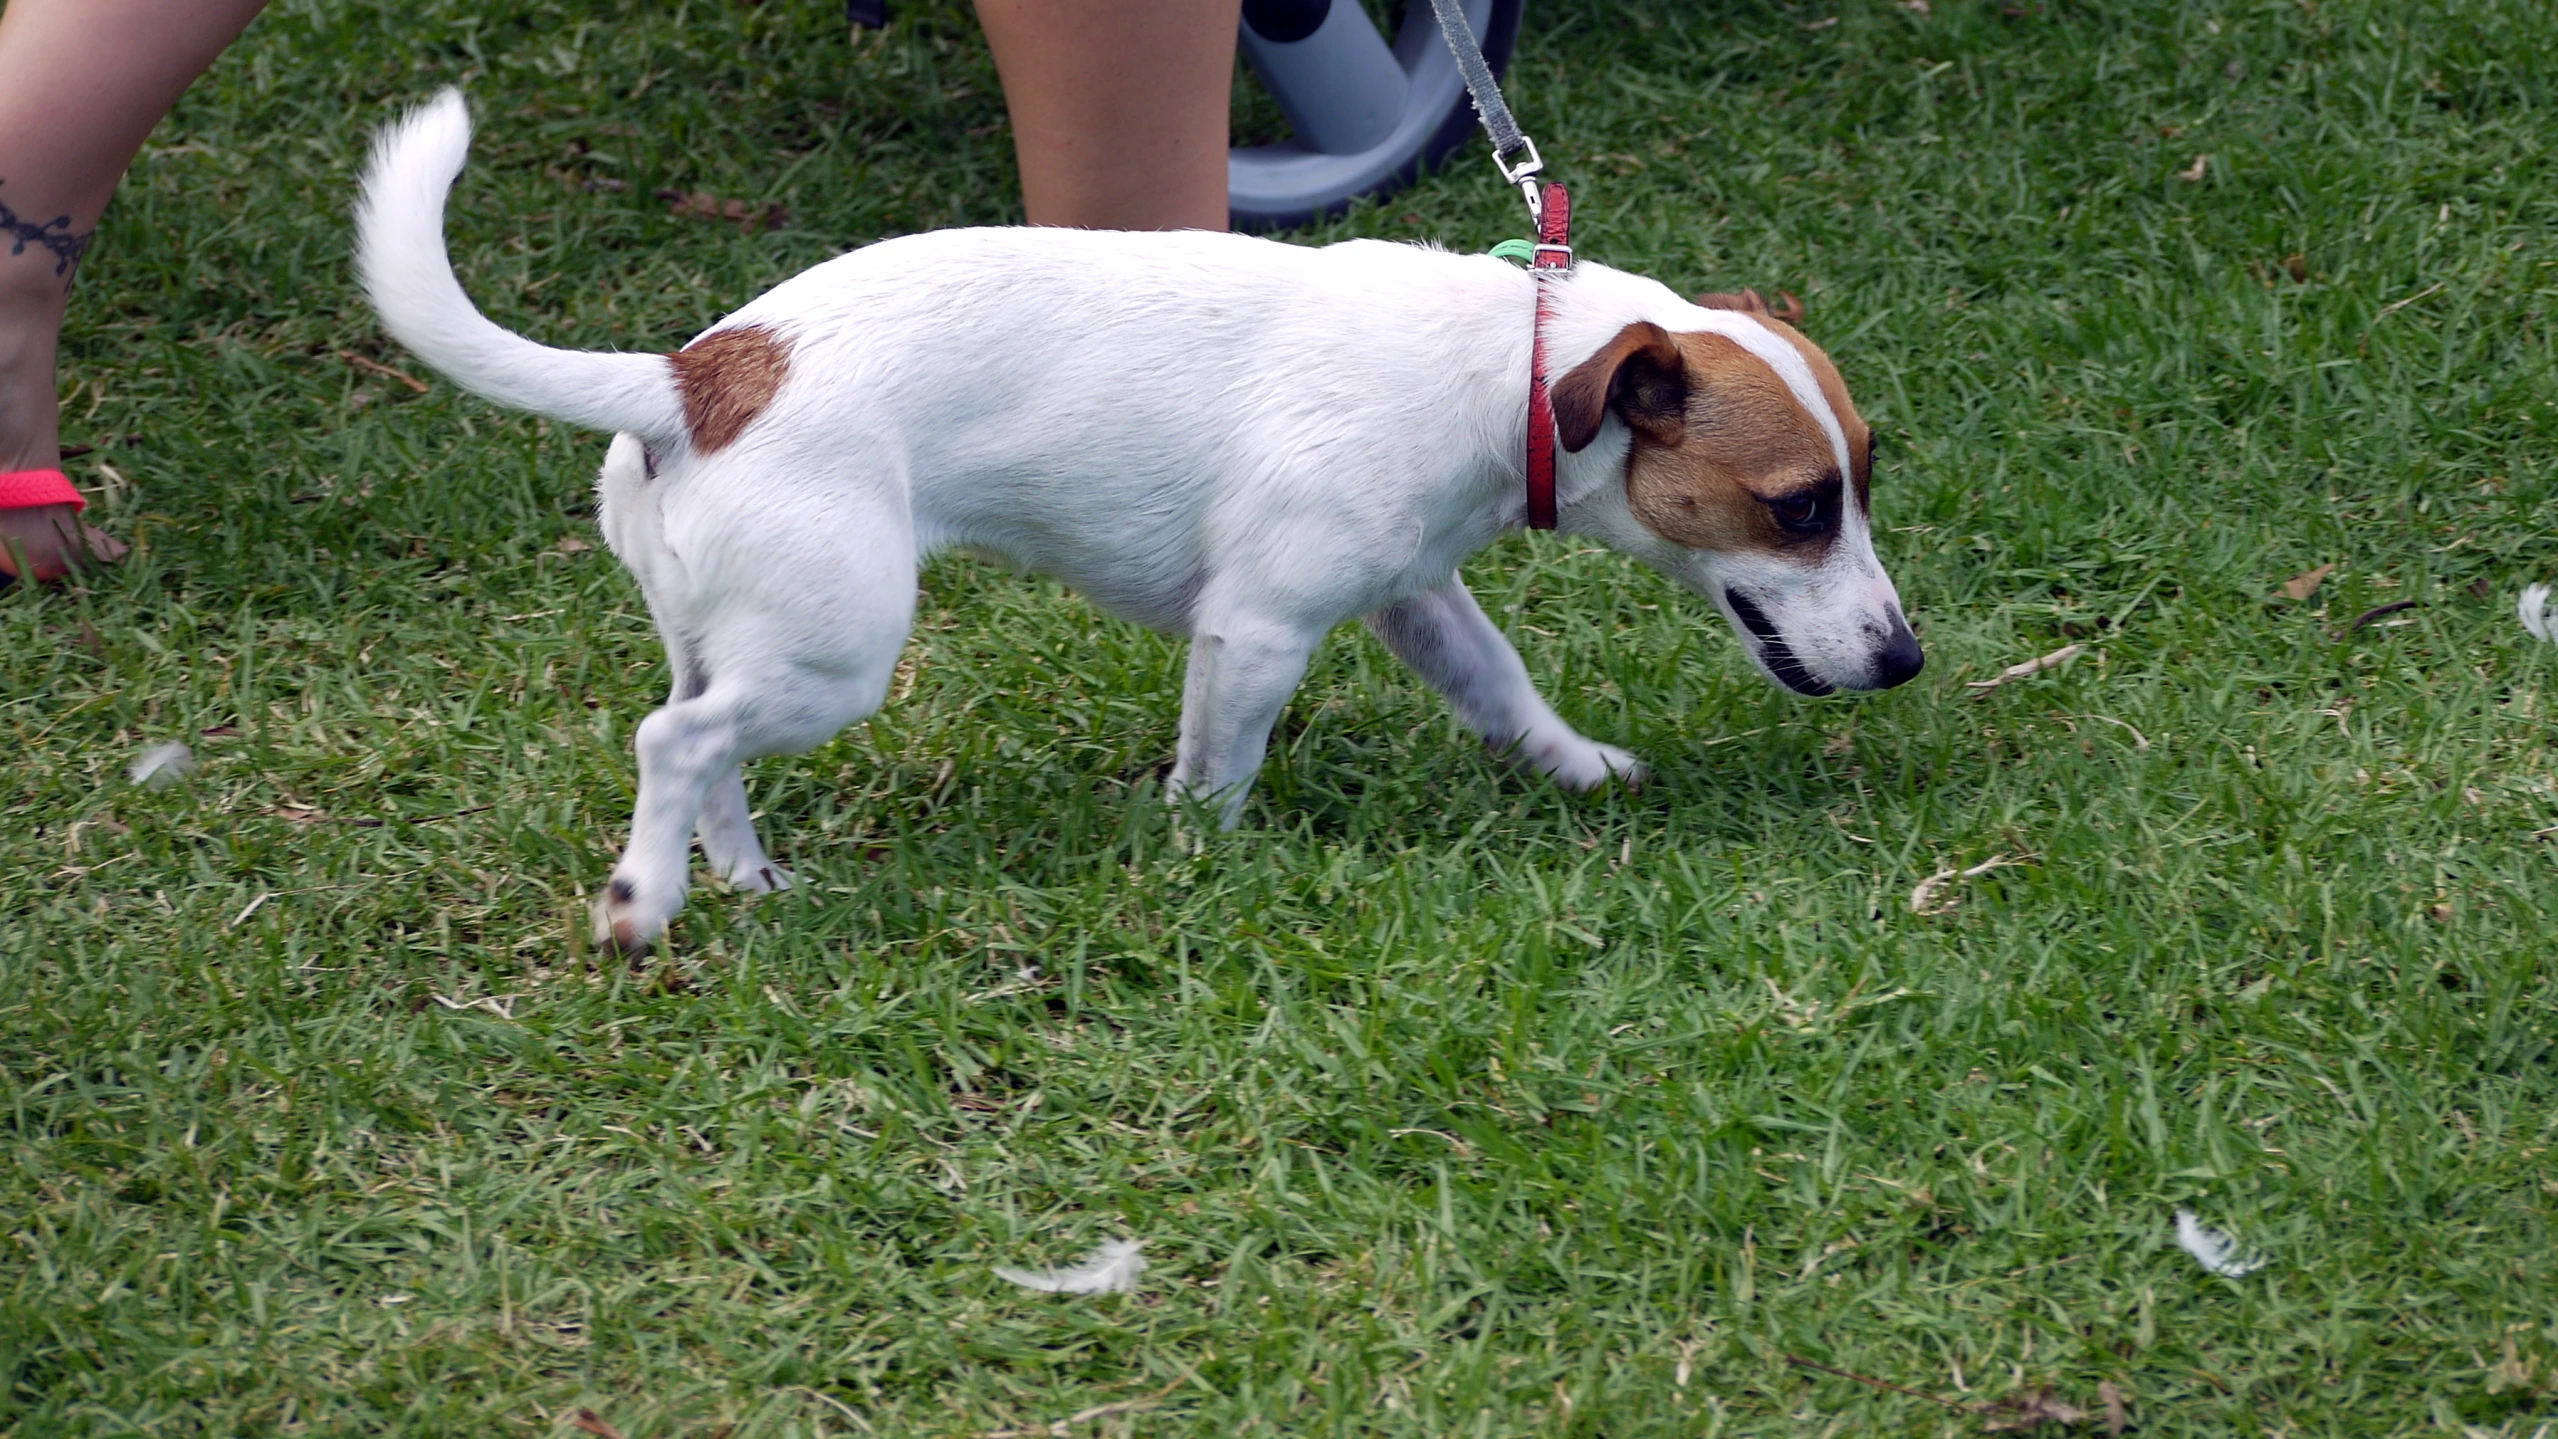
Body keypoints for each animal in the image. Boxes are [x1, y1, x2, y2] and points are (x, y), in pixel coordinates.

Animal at [355, 87, 1923, 945]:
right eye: (1797, 507)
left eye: (1864, 474)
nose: (1905, 659)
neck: (1520, 365)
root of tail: (696, 376)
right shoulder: (1258, 630)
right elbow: (1216, 771)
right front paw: (1202, 860)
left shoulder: (1411, 592)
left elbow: (1499, 683)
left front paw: (1577, 766)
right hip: (834, 651)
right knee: (669, 739)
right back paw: (645, 901)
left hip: (743, 637)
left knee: (701, 745)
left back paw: (732, 877)